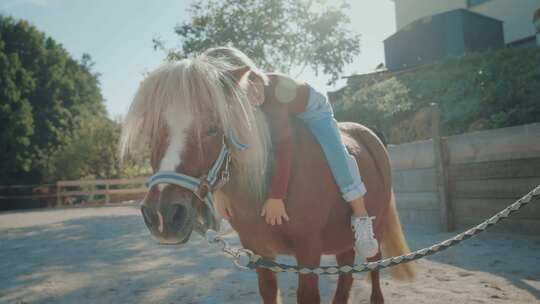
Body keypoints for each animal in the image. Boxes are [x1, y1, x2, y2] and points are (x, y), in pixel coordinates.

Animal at [120, 56, 416, 304]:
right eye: (151, 131)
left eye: (213, 128)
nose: (162, 215)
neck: (264, 183)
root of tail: (370, 135)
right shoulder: (260, 254)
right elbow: (269, 291)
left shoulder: (308, 253)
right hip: (342, 243)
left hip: (375, 233)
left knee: (374, 275)